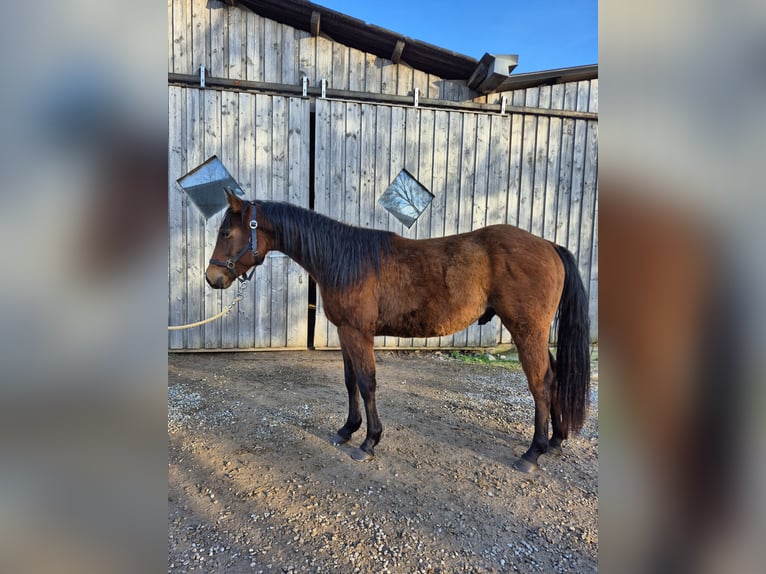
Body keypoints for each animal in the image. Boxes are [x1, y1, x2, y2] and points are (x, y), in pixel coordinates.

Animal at [205, 189, 590, 472]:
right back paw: (556, 441)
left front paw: (369, 441)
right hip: (535, 333)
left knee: (541, 383)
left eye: (226, 232)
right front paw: (347, 430)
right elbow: (350, 382)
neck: (343, 259)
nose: (213, 278)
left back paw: (533, 452)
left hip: (527, 332)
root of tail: (549, 246)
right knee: (555, 376)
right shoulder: (345, 332)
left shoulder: (358, 332)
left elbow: (367, 383)